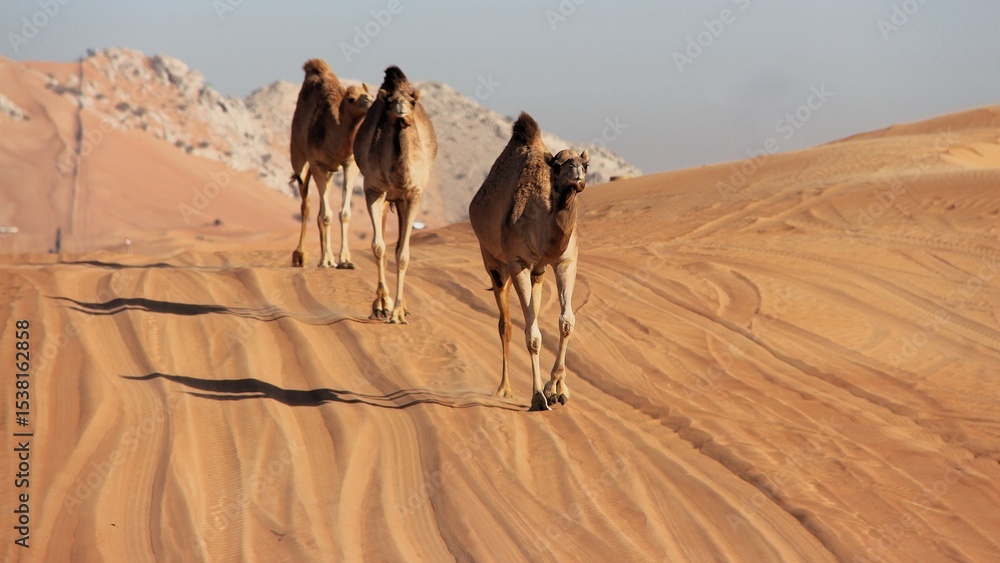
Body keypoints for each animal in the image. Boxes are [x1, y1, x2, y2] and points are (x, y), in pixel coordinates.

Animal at [289, 58, 373, 268]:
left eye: (370, 95)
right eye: (351, 98)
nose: (371, 102)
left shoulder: (349, 164)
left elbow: (343, 213)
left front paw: (345, 260)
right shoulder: (317, 163)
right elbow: (326, 215)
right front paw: (327, 259)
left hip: (327, 172)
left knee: (319, 208)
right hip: (300, 160)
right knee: (306, 205)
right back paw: (300, 255)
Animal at [353, 66, 438, 324]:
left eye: (412, 101)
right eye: (390, 102)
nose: (401, 110)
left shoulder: (413, 195)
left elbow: (403, 253)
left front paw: (399, 312)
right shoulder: (373, 190)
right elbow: (378, 246)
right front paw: (382, 305)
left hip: (401, 201)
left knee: (401, 244)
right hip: (386, 198)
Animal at [468, 112, 589, 411]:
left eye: (586, 164)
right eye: (557, 166)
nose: (577, 172)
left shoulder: (565, 260)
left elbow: (567, 322)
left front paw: (557, 388)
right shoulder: (518, 262)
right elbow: (532, 336)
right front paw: (537, 397)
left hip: (539, 271)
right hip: (494, 262)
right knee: (506, 324)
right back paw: (504, 389)